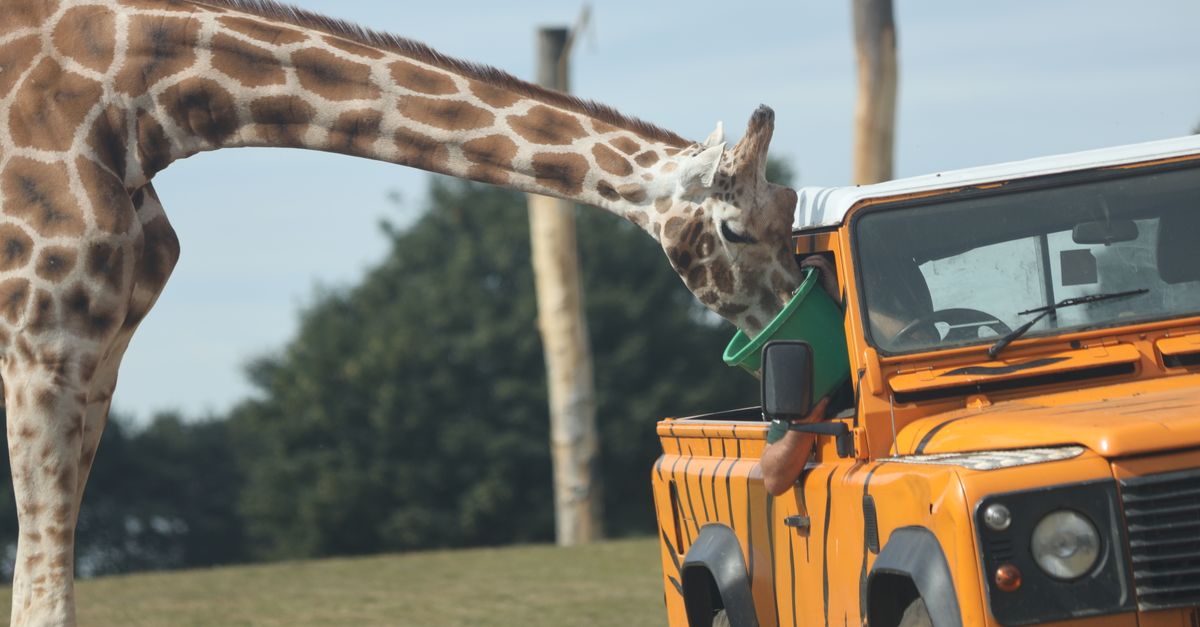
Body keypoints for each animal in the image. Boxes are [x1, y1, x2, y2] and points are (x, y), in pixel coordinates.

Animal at [0, 0, 803, 623]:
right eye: (737, 230)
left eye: (792, 211)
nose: (794, 314)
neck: (145, 101)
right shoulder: (42, 334)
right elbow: (44, 595)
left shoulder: (104, 347)